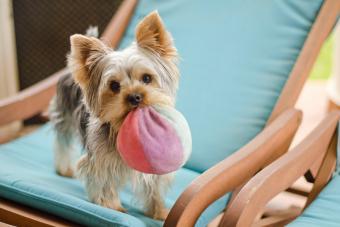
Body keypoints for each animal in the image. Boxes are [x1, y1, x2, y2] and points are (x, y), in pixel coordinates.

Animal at [49, 11, 181, 220]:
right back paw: (64, 169)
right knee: (62, 141)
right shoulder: (102, 160)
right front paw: (111, 206)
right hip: (64, 113)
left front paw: (159, 211)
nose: (135, 97)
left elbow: (154, 187)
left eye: (147, 78)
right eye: (114, 86)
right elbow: (104, 181)